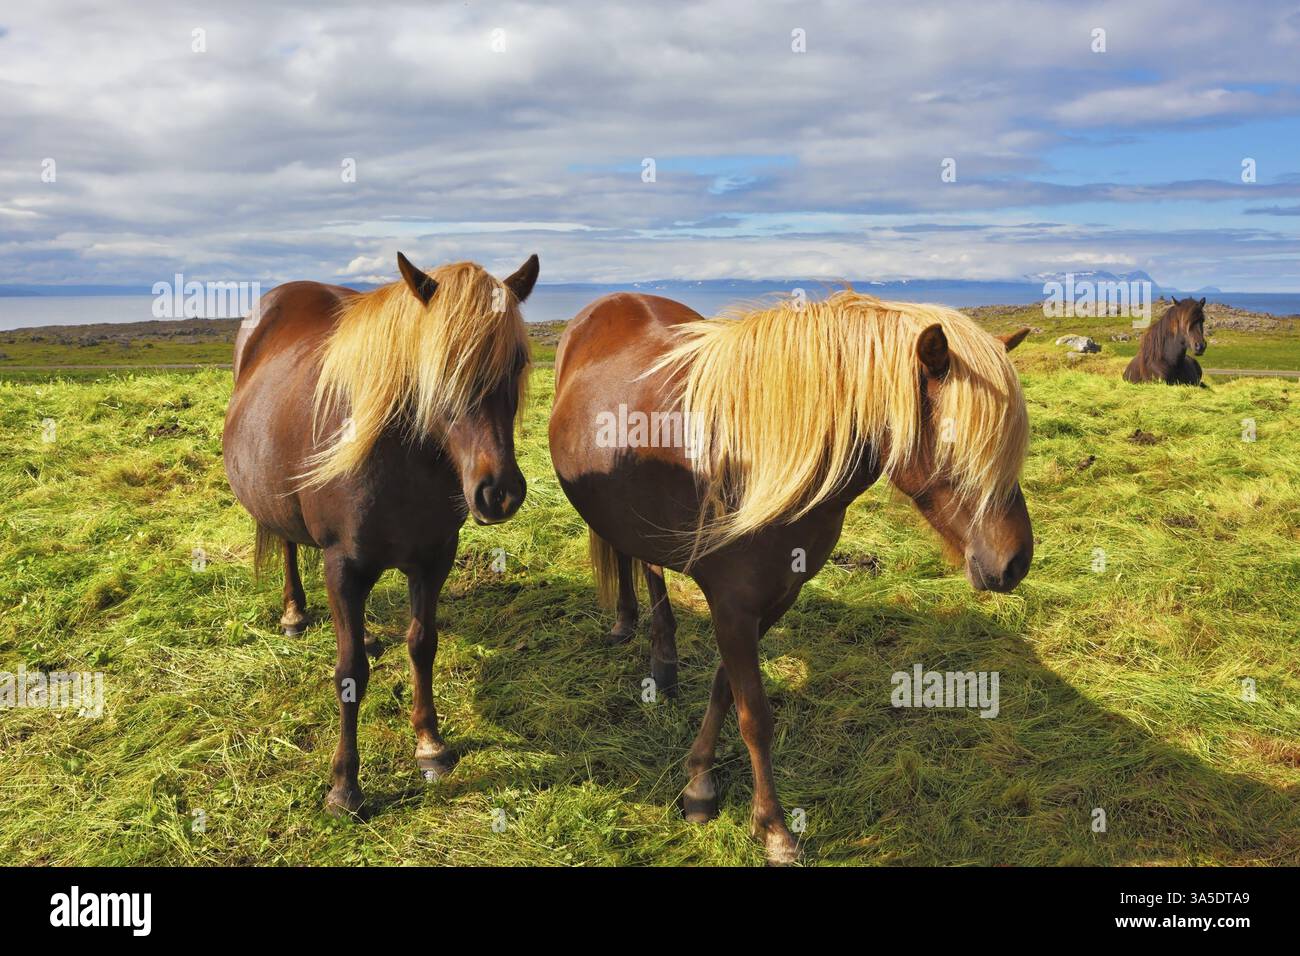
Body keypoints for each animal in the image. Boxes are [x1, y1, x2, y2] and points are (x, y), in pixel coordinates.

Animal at [223, 252, 537, 816]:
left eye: (518, 363)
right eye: (440, 367)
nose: (498, 492)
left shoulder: (435, 559)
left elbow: (422, 645)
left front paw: (430, 743)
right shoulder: (343, 567)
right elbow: (349, 674)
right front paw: (345, 786)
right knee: (288, 546)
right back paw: (294, 613)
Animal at [548, 290, 1033, 864]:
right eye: (959, 444)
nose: (1016, 561)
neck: (757, 455)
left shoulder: (771, 600)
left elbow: (725, 690)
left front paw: (699, 780)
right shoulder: (733, 605)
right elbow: (755, 716)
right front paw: (773, 828)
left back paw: (660, 658)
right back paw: (631, 628)